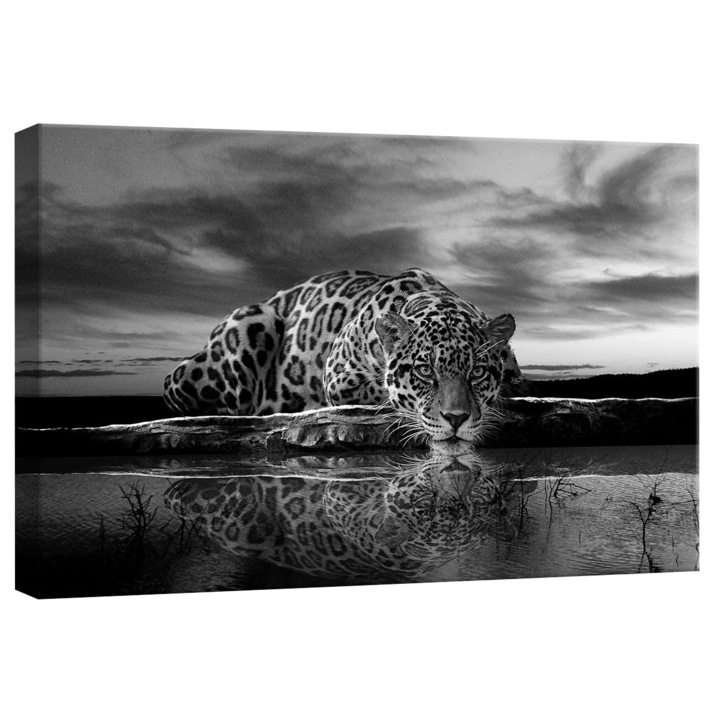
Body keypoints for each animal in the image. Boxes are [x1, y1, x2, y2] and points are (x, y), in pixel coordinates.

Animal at [163, 268, 530, 444]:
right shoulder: (339, 376)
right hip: (251, 323)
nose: (457, 419)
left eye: (477, 372)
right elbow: (384, 392)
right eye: (425, 371)